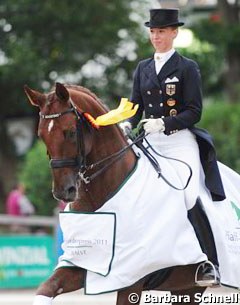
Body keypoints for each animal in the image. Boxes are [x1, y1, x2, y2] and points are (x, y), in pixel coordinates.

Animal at [24, 82, 206, 304]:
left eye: (71, 132)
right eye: (41, 136)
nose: (63, 191)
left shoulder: (132, 276)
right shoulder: (84, 263)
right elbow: (46, 288)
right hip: (186, 287)